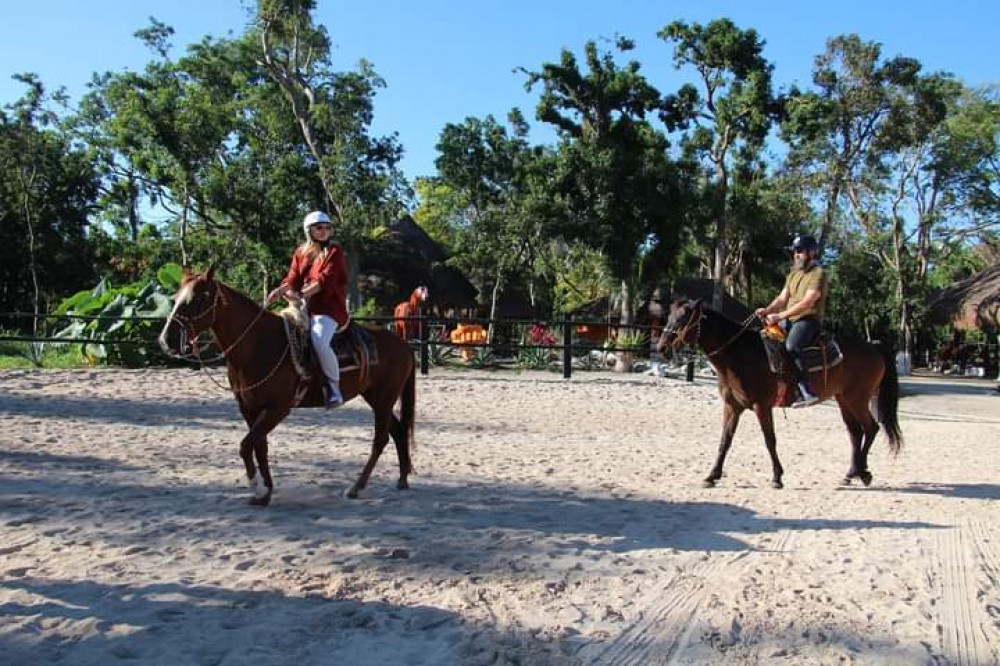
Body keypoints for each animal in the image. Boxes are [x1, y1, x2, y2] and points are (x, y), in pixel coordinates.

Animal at [158, 268, 416, 506]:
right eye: (175, 298)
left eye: (199, 298)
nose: (166, 340)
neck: (258, 343)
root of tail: (403, 344)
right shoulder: (249, 408)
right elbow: (259, 446)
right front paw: (266, 491)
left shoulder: (278, 409)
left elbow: (246, 446)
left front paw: (259, 490)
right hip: (375, 397)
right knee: (397, 430)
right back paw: (402, 478)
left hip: (383, 399)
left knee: (381, 439)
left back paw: (356, 487)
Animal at [660, 300, 904, 488]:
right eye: (669, 316)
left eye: (682, 319)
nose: (661, 347)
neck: (739, 354)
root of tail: (873, 346)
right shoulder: (732, 407)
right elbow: (725, 441)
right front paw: (712, 476)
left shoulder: (762, 406)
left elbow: (770, 440)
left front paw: (777, 477)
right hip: (844, 399)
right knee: (855, 432)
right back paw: (852, 473)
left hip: (858, 398)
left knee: (871, 428)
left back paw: (863, 472)